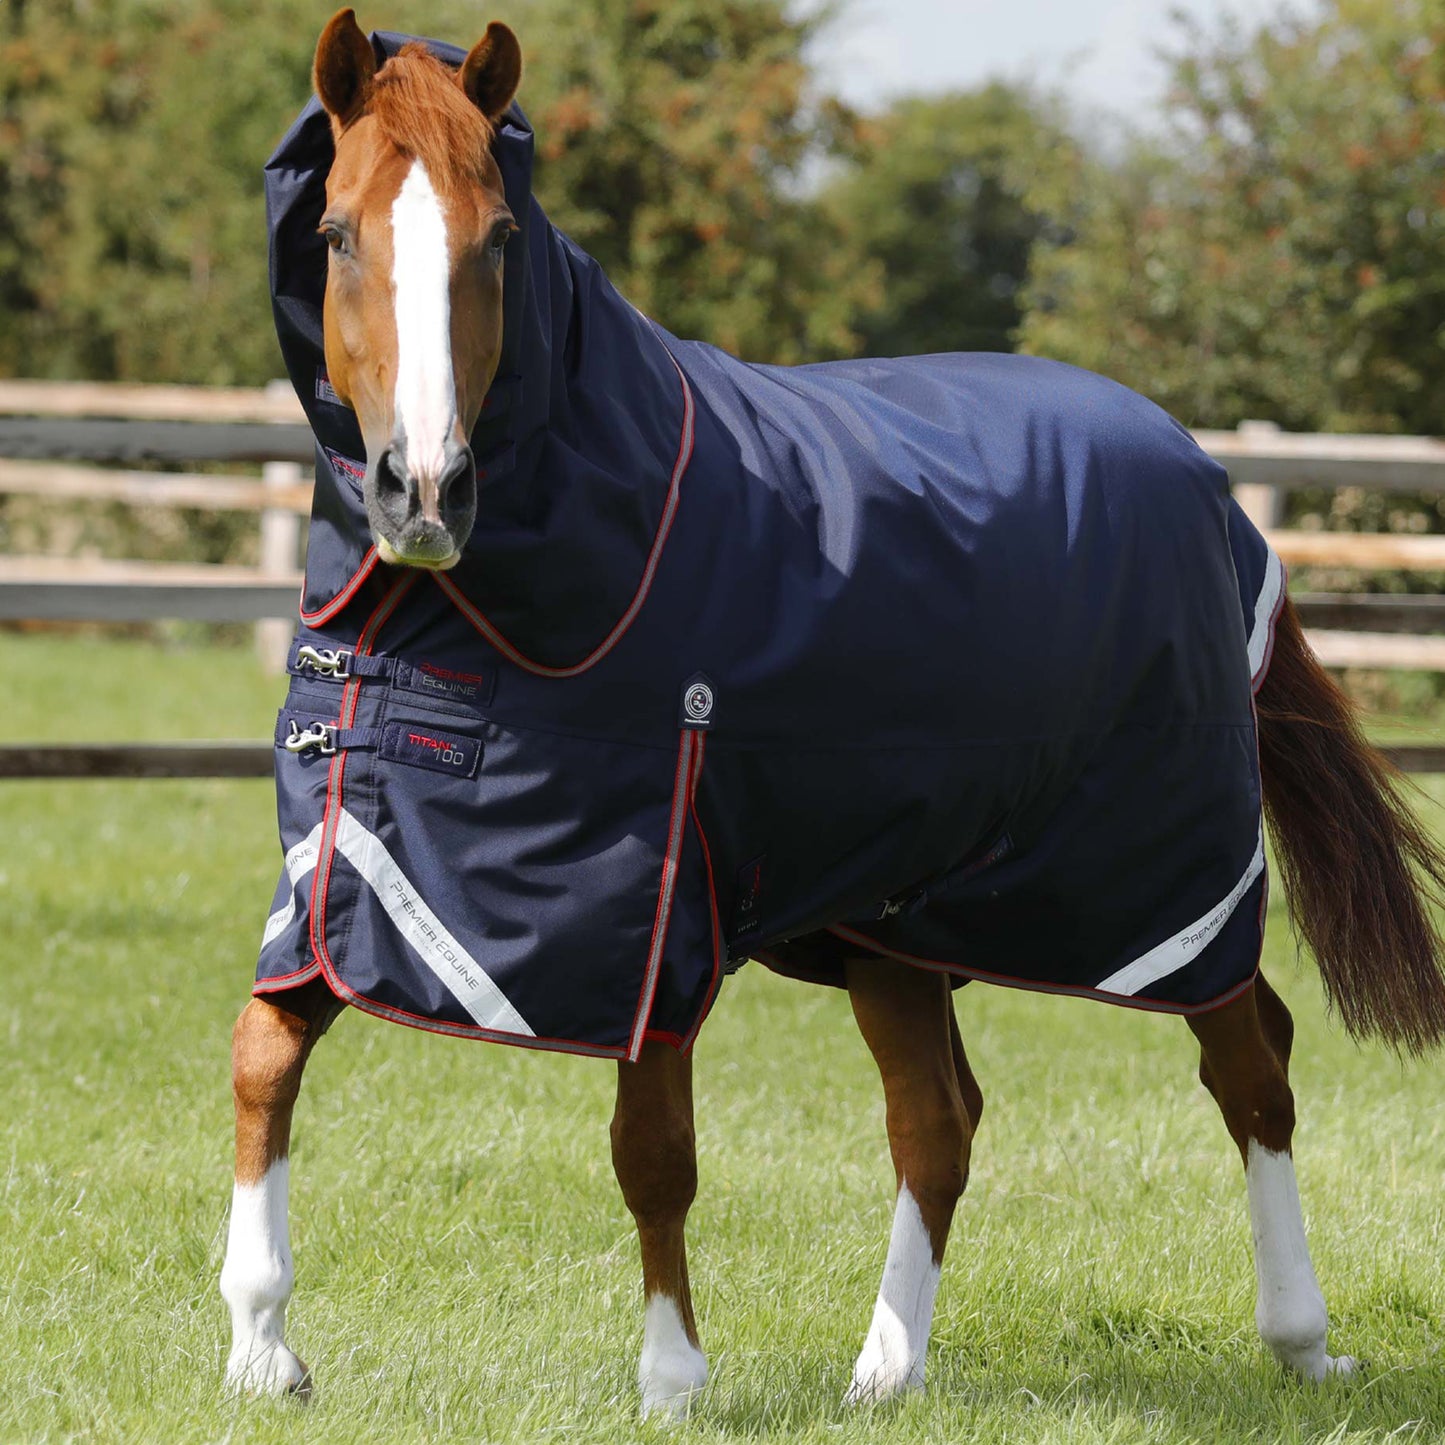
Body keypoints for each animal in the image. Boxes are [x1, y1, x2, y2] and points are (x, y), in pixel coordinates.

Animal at [220, 9, 1445, 1419]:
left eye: (500, 238)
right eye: (334, 233)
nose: (424, 488)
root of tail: (1208, 481)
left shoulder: (653, 897)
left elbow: (652, 1146)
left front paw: (671, 1376)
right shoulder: (360, 870)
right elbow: (264, 1051)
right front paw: (259, 1345)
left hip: (1165, 882)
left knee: (1249, 1058)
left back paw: (1298, 1335)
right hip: (898, 917)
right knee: (939, 1116)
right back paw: (884, 1368)